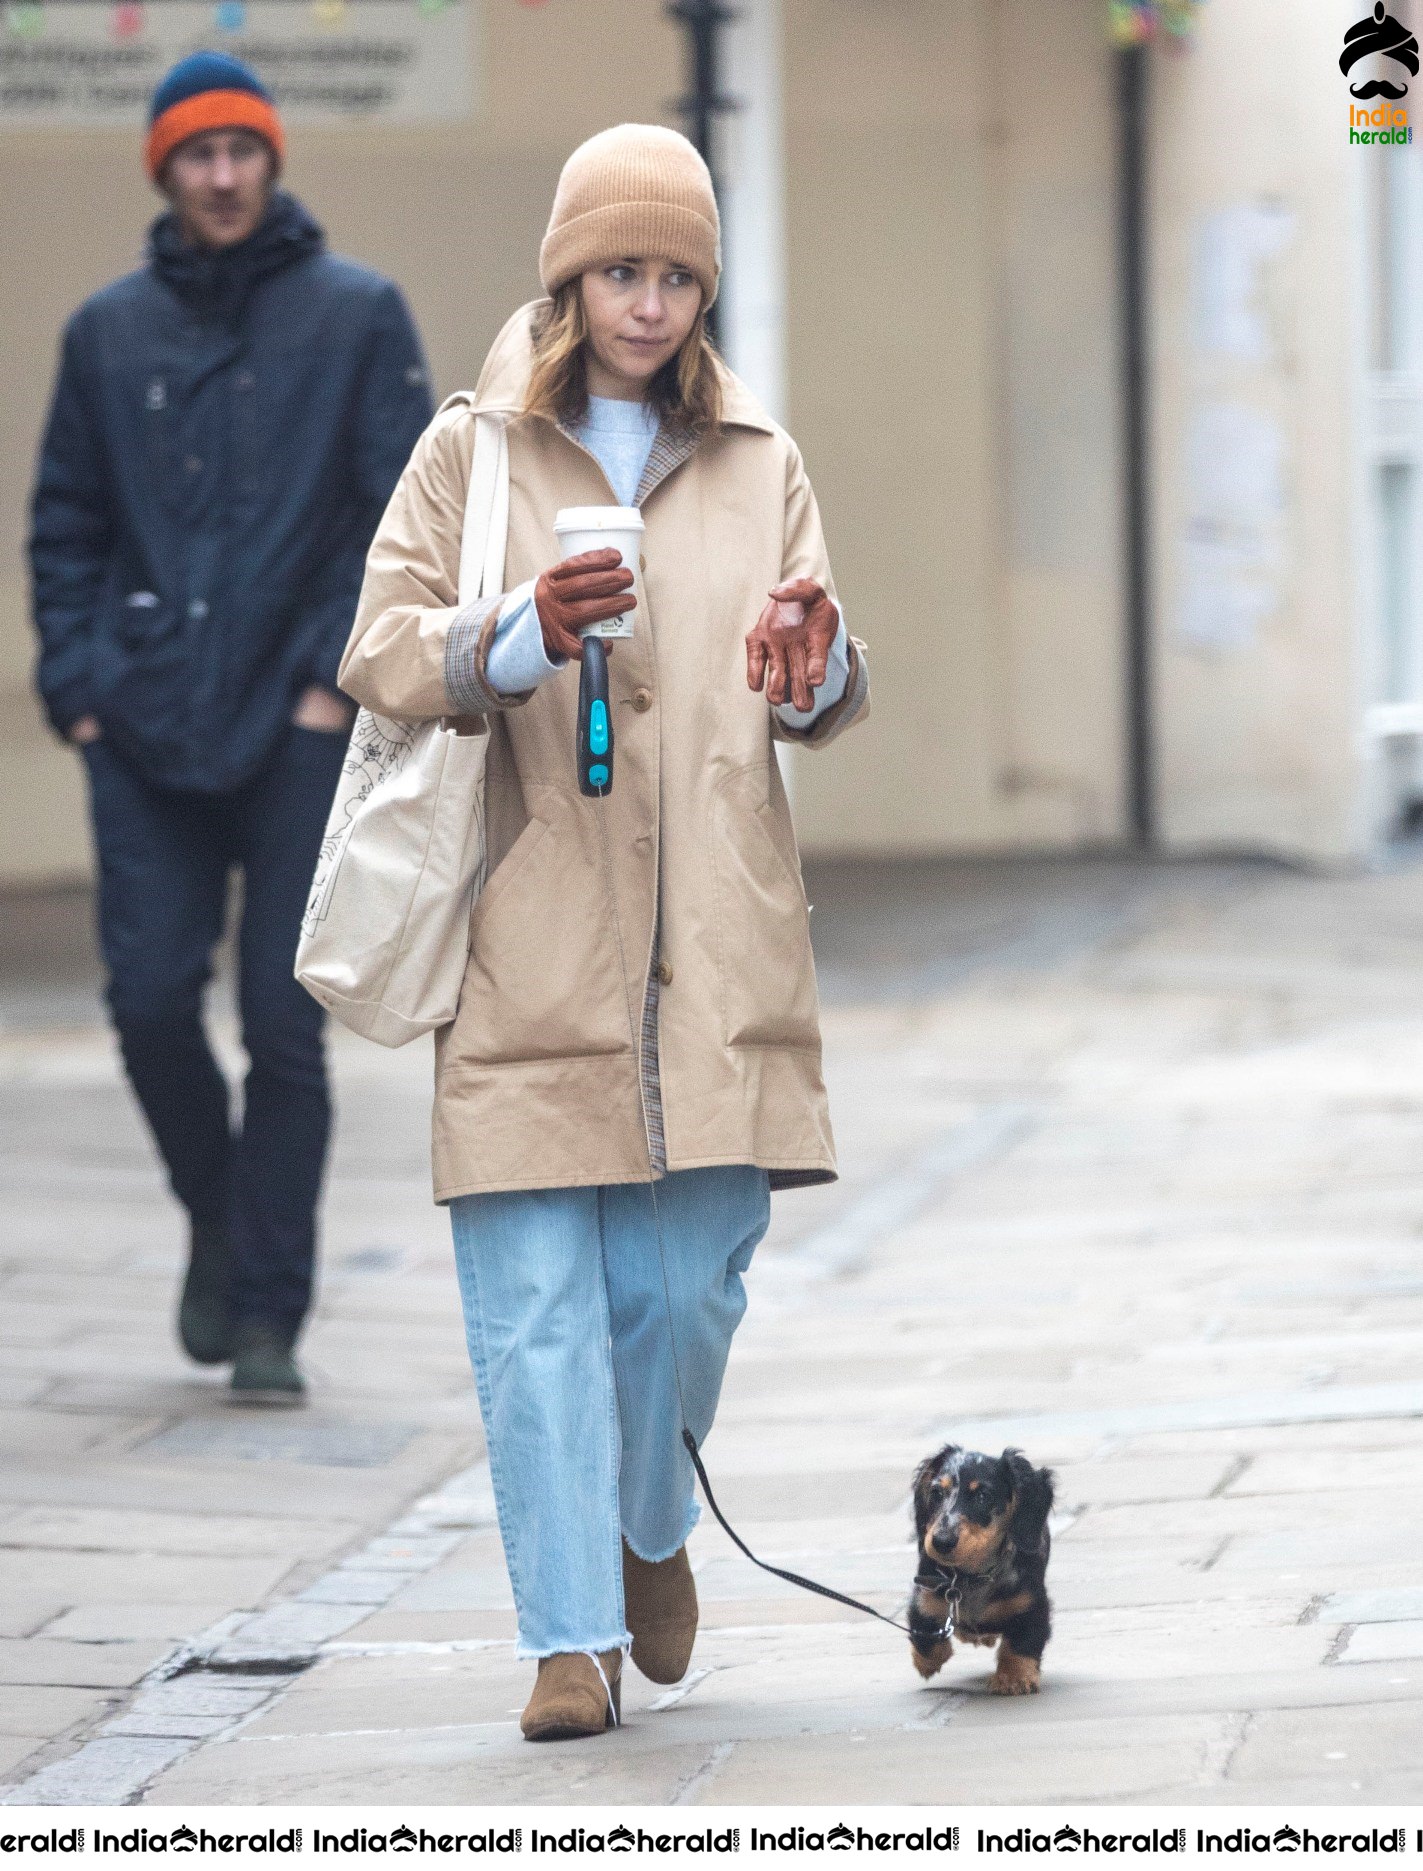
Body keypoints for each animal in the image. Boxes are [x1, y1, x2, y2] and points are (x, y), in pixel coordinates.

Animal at [905, 1444, 1047, 1698]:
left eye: (982, 1496)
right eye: (936, 1493)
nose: (941, 1542)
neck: (970, 1577)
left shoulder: (1032, 1605)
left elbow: (1021, 1642)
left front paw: (1014, 1678)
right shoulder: (924, 1597)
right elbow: (926, 1636)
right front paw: (927, 1663)